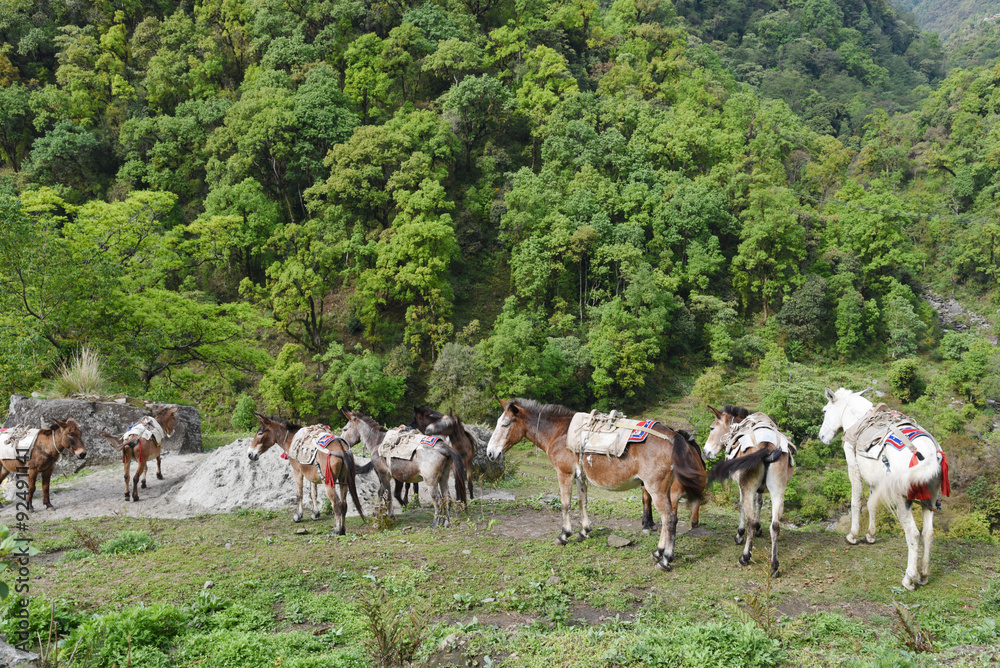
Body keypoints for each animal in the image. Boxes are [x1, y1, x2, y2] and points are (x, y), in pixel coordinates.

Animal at [485, 398, 706, 571]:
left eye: (505, 424)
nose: (490, 453)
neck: (560, 434)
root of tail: (674, 436)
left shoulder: (564, 474)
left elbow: (565, 504)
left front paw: (564, 534)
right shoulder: (580, 477)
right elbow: (582, 502)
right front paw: (584, 531)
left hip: (655, 487)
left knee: (669, 518)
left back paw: (666, 559)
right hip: (663, 488)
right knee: (668, 518)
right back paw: (658, 552)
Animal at [703, 406, 795, 577]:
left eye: (712, 428)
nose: (705, 453)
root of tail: (767, 445)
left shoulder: (742, 487)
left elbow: (741, 507)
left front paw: (740, 534)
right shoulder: (760, 489)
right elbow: (759, 502)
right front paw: (759, 528)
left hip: (749, 488)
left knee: (750, 521)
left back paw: (745, 556)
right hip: (778, 491)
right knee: (775, 525)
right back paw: (774, 566)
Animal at [819, 387, 947, 590]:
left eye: (825, 411)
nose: (822, 436)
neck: (857, 419)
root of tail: (929, 455)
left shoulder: (853, 467)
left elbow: (856, 502)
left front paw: (853, 535)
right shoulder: (876, 480)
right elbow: (872, 504)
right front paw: (871, 535)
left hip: (904, 500)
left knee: (913, 534)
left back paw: (909, 578)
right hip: (930, 499)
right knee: (928, 533)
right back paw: (924, 575)